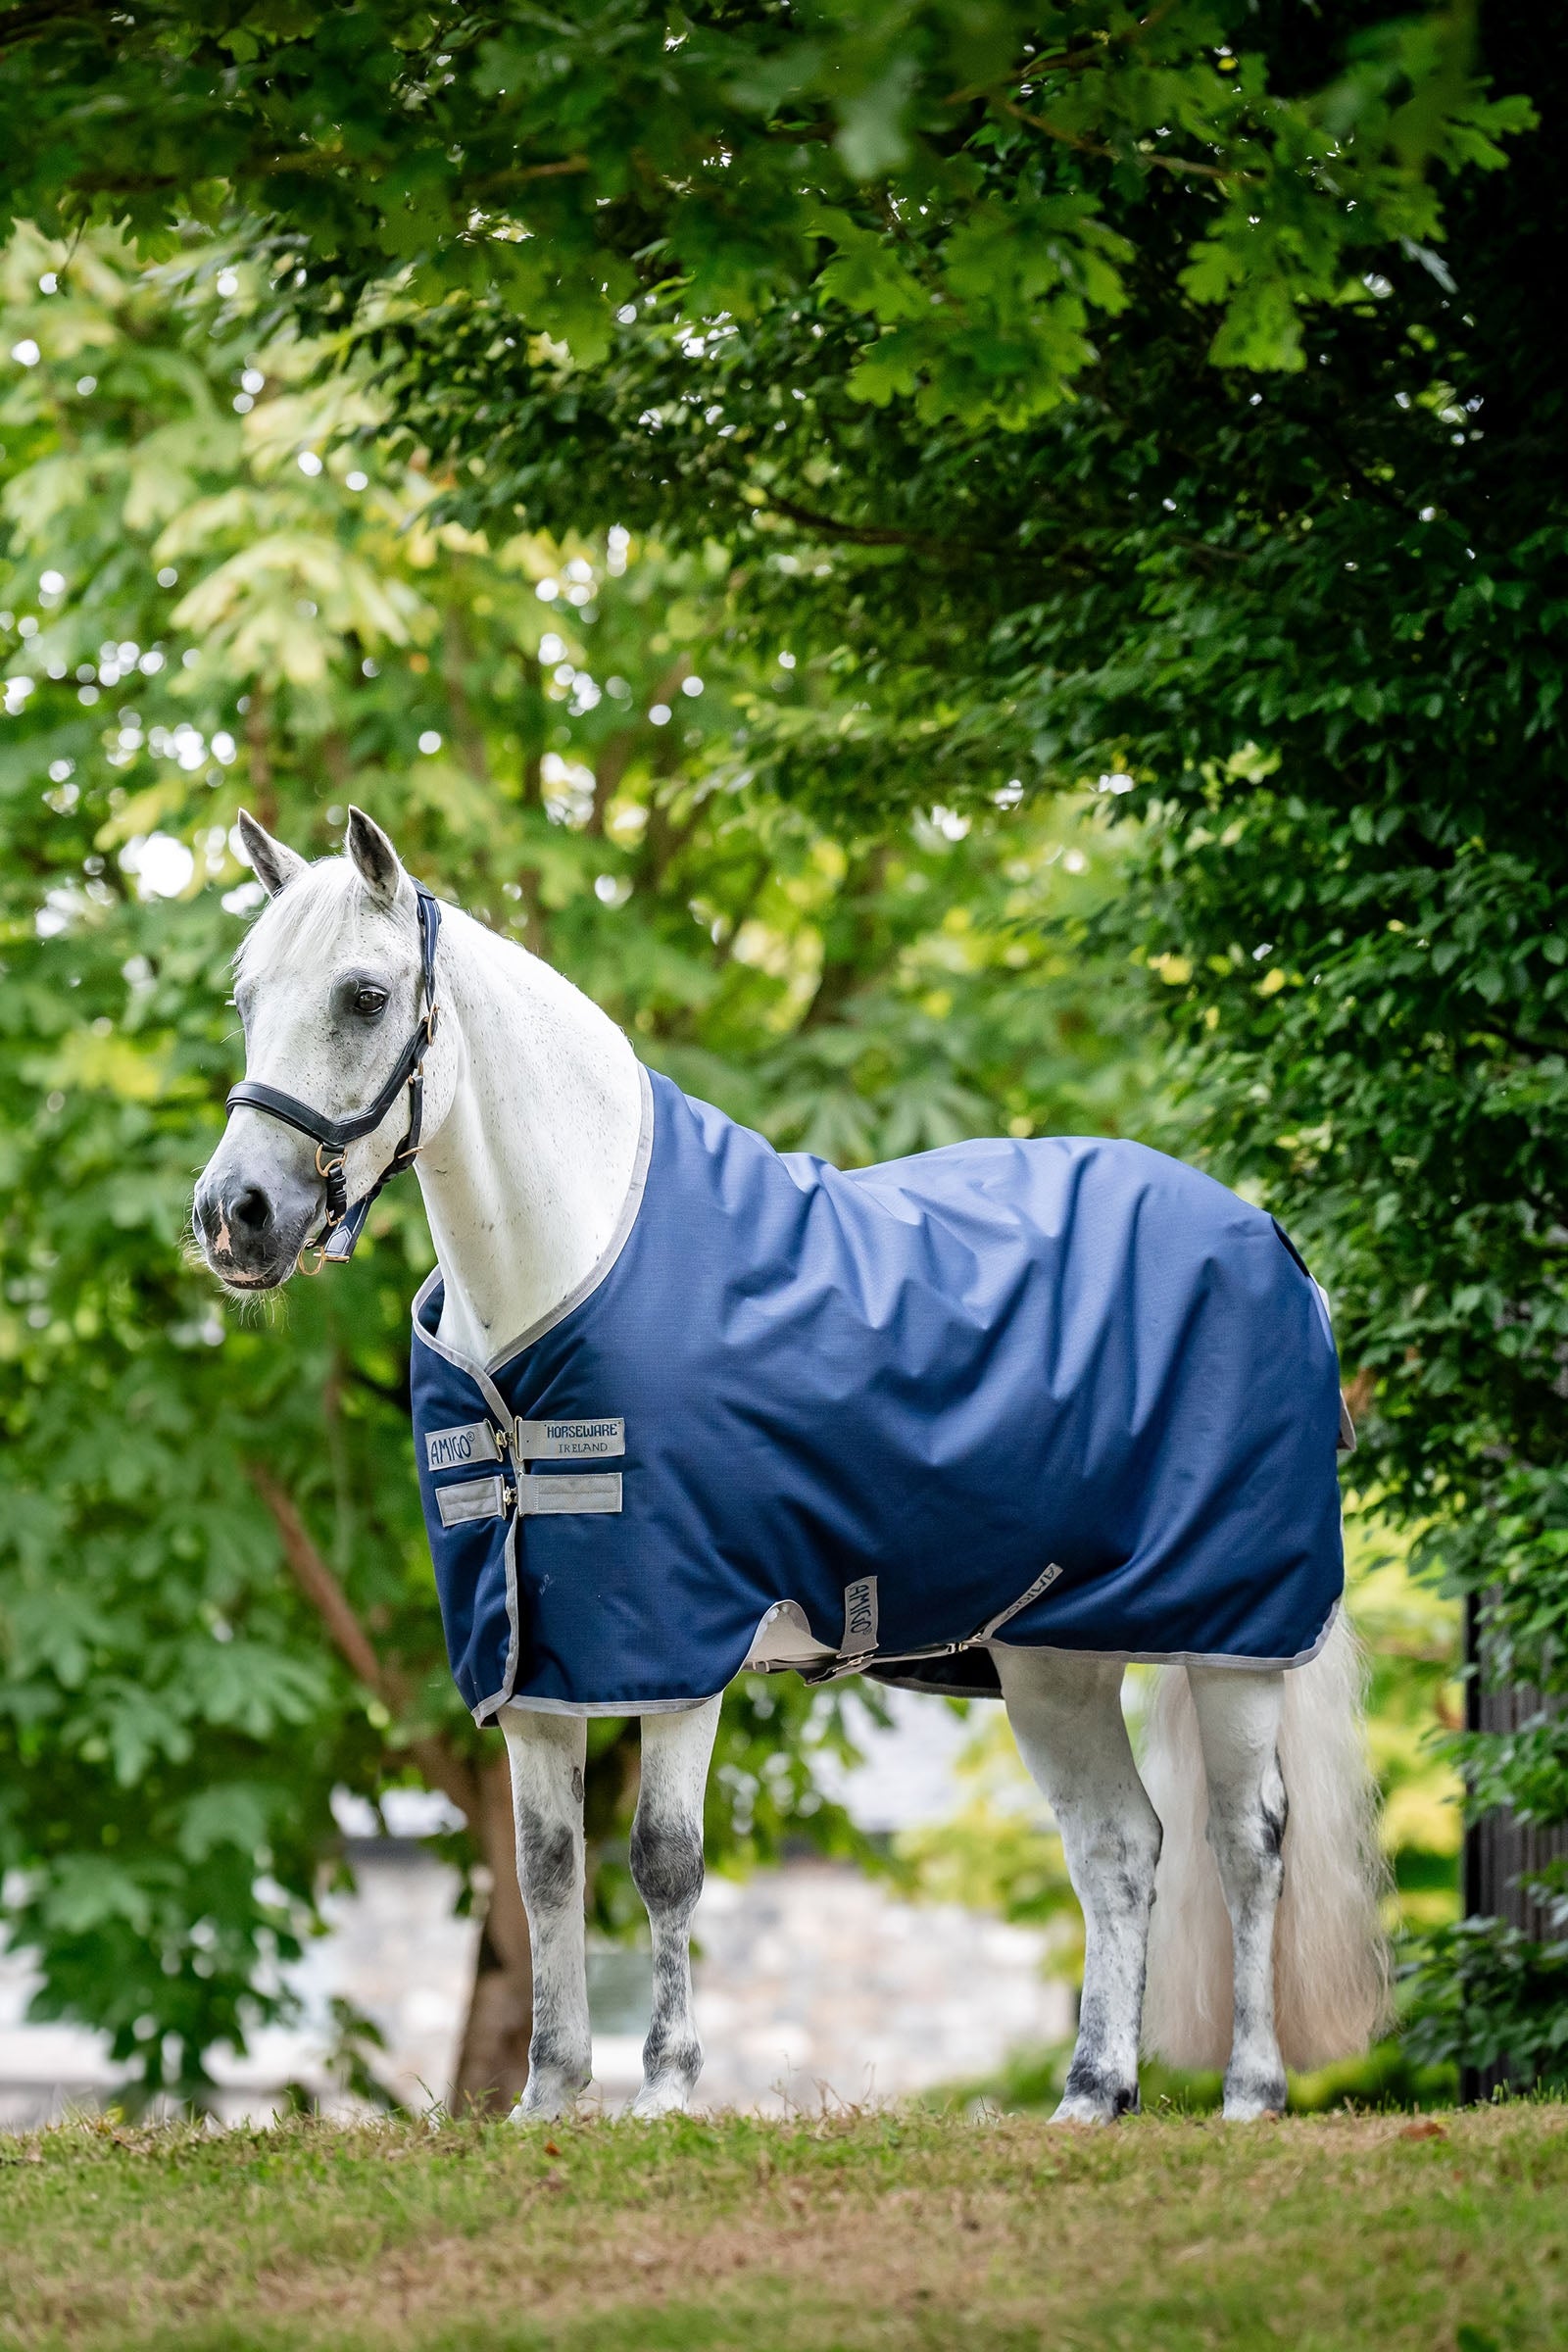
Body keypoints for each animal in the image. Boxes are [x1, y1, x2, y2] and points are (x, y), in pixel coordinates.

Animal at [193, 806, 1389, 2123]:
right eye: (246, 997)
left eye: (365, 996)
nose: (234, 1214)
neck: (558, 1292)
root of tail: (1270, 1242)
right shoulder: (535, 1660)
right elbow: (547, 1869)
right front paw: (549, 2099)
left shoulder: (679, 1643)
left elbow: (662, 1862)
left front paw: (666, 2092)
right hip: (1053, 1661)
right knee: (1120, 1848)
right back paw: (1092, 2094)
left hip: (1235, 1639)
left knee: (1247, 1840)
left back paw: (1252, 2092)